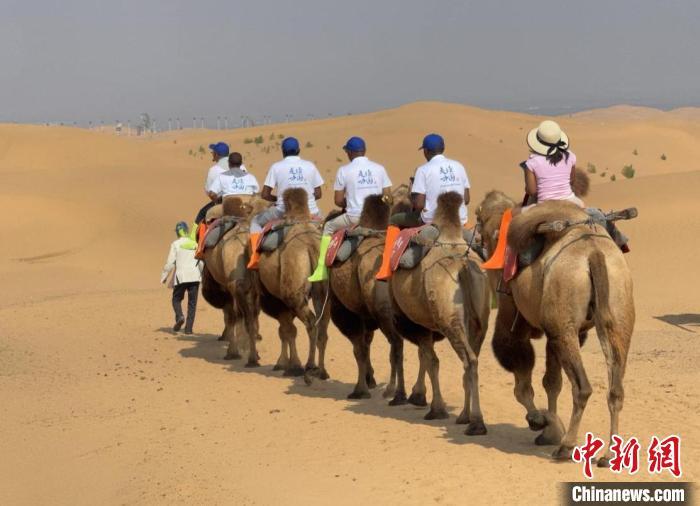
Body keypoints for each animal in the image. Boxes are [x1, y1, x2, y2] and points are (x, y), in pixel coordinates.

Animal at [202, 197, 270, 364]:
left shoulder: (231, 287)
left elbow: (235, 317)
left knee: (240, 316)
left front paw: (235, 351)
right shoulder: (244, 288)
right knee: (245, 316)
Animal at [256, 188, 332, 378]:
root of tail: (311, 247)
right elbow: (288, 329)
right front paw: (289, 364)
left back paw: (309, 366)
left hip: (293, 292)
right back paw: (322, 371)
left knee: (311, 322)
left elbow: (286, 330)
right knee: (322, 324)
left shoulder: (275, 298)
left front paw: (287, 365)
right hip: (324, 293)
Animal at [328, 194, 410, 404]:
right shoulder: (366, 315)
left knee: (396, 346)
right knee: (396, 347)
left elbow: (359, 349)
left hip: (383, 314)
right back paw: (396, 392)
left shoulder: (346, 312)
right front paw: (370, 380)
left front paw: (360, 390)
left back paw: (395, 392)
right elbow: (367, 343)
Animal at [388, 192, 492, 432]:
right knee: (472, 359)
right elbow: (427, 358)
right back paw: (465, 416)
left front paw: (435, 408)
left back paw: (476, 423)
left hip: (448, 318)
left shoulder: (417, 324)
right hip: (479, 318)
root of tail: (462, 264)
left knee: (468, 360)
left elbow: (431, 360)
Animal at [476, 192, 636, 464]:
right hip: (615, 311)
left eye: (479, 219)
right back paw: (608, 455)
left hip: (564, 322)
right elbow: (552, 381)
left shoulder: (511, 313)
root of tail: (594, 255)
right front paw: (550, 428)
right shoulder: (557, 330)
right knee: (615, 389)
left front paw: (539, 421)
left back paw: (566, 447)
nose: (478, 241)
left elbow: (521, 374)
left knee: (582, 388)